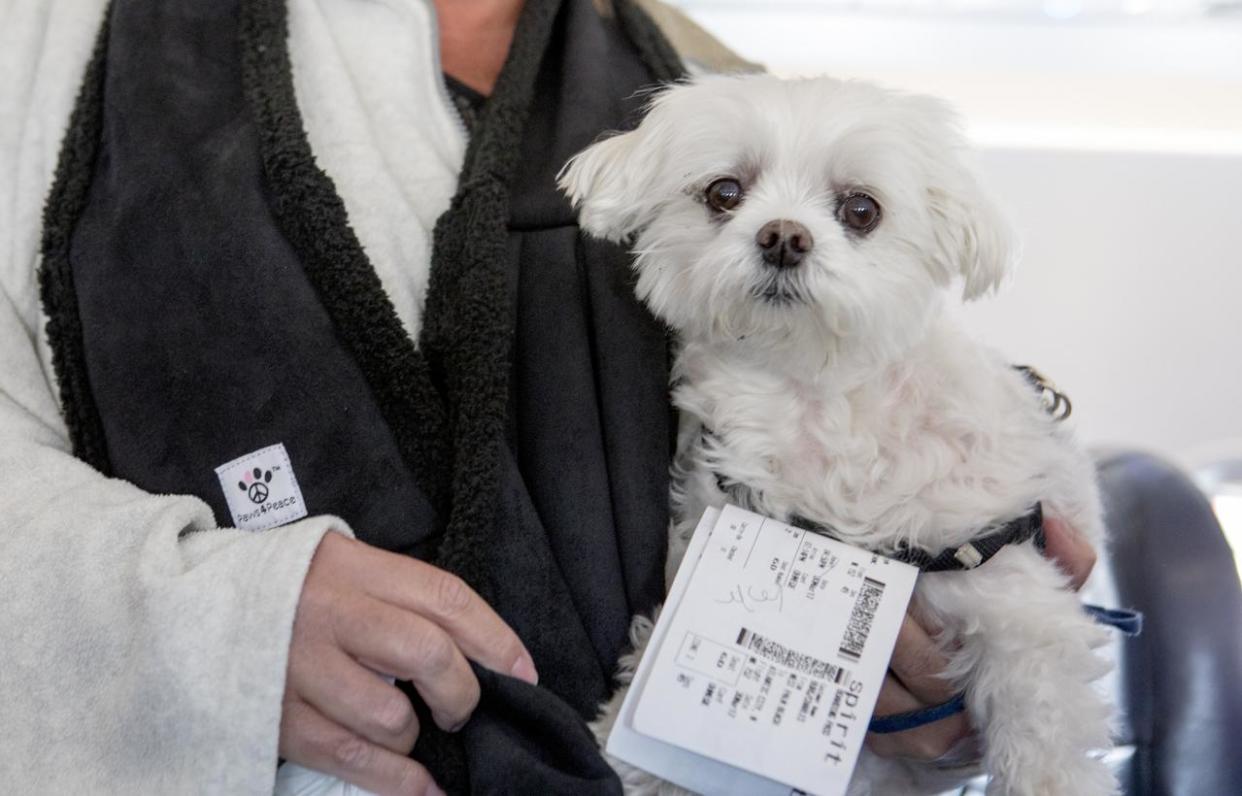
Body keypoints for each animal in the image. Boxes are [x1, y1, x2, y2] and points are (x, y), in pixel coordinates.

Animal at [558, 74, 1112, 794]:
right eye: (724, 192)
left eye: (861, 209)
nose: (783, 237)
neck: (816, 403)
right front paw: (632, 754)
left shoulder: (1011, 589)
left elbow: (1044, 726)